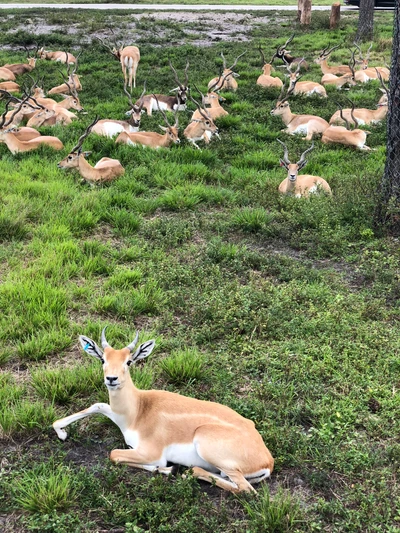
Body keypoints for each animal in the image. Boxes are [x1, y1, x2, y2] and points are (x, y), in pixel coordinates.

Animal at [52, 328, 276, 494]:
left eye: (129, 361)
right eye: (103, 359)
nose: (112, 379)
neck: (137, 411)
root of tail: (268, 460)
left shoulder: (150, 452)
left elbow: (114, 454)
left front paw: (166, 468)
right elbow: (97, 405)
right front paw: (61, 432)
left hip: (207, 444)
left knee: (246, 490)